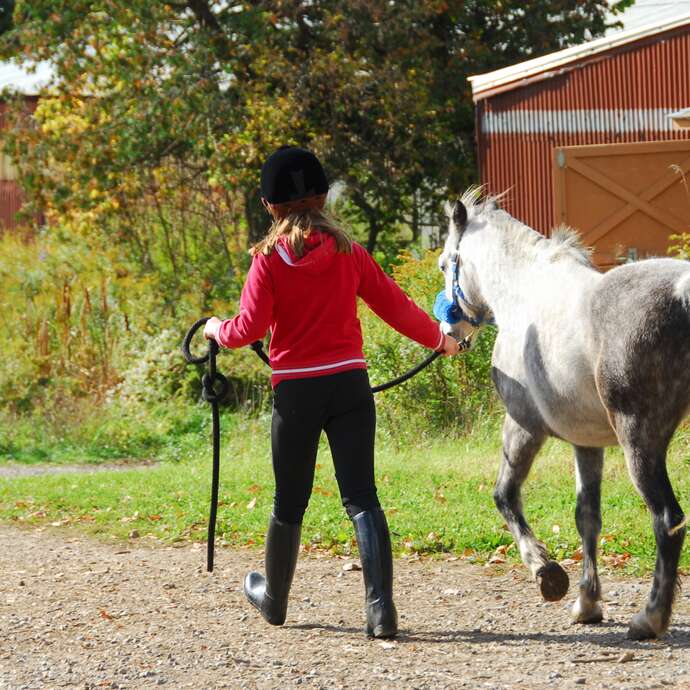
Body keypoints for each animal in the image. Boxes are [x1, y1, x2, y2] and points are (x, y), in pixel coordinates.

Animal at [438, 185, 684, 636]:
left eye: (446, 263)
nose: (451, 331)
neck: (526, 291)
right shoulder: (587, 444)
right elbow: (587, 516)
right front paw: (587, 603)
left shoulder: (522, 427)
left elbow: (504, 495)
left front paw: (545, 571)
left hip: (640, 442)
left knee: (667, 521)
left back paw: (650, 617)